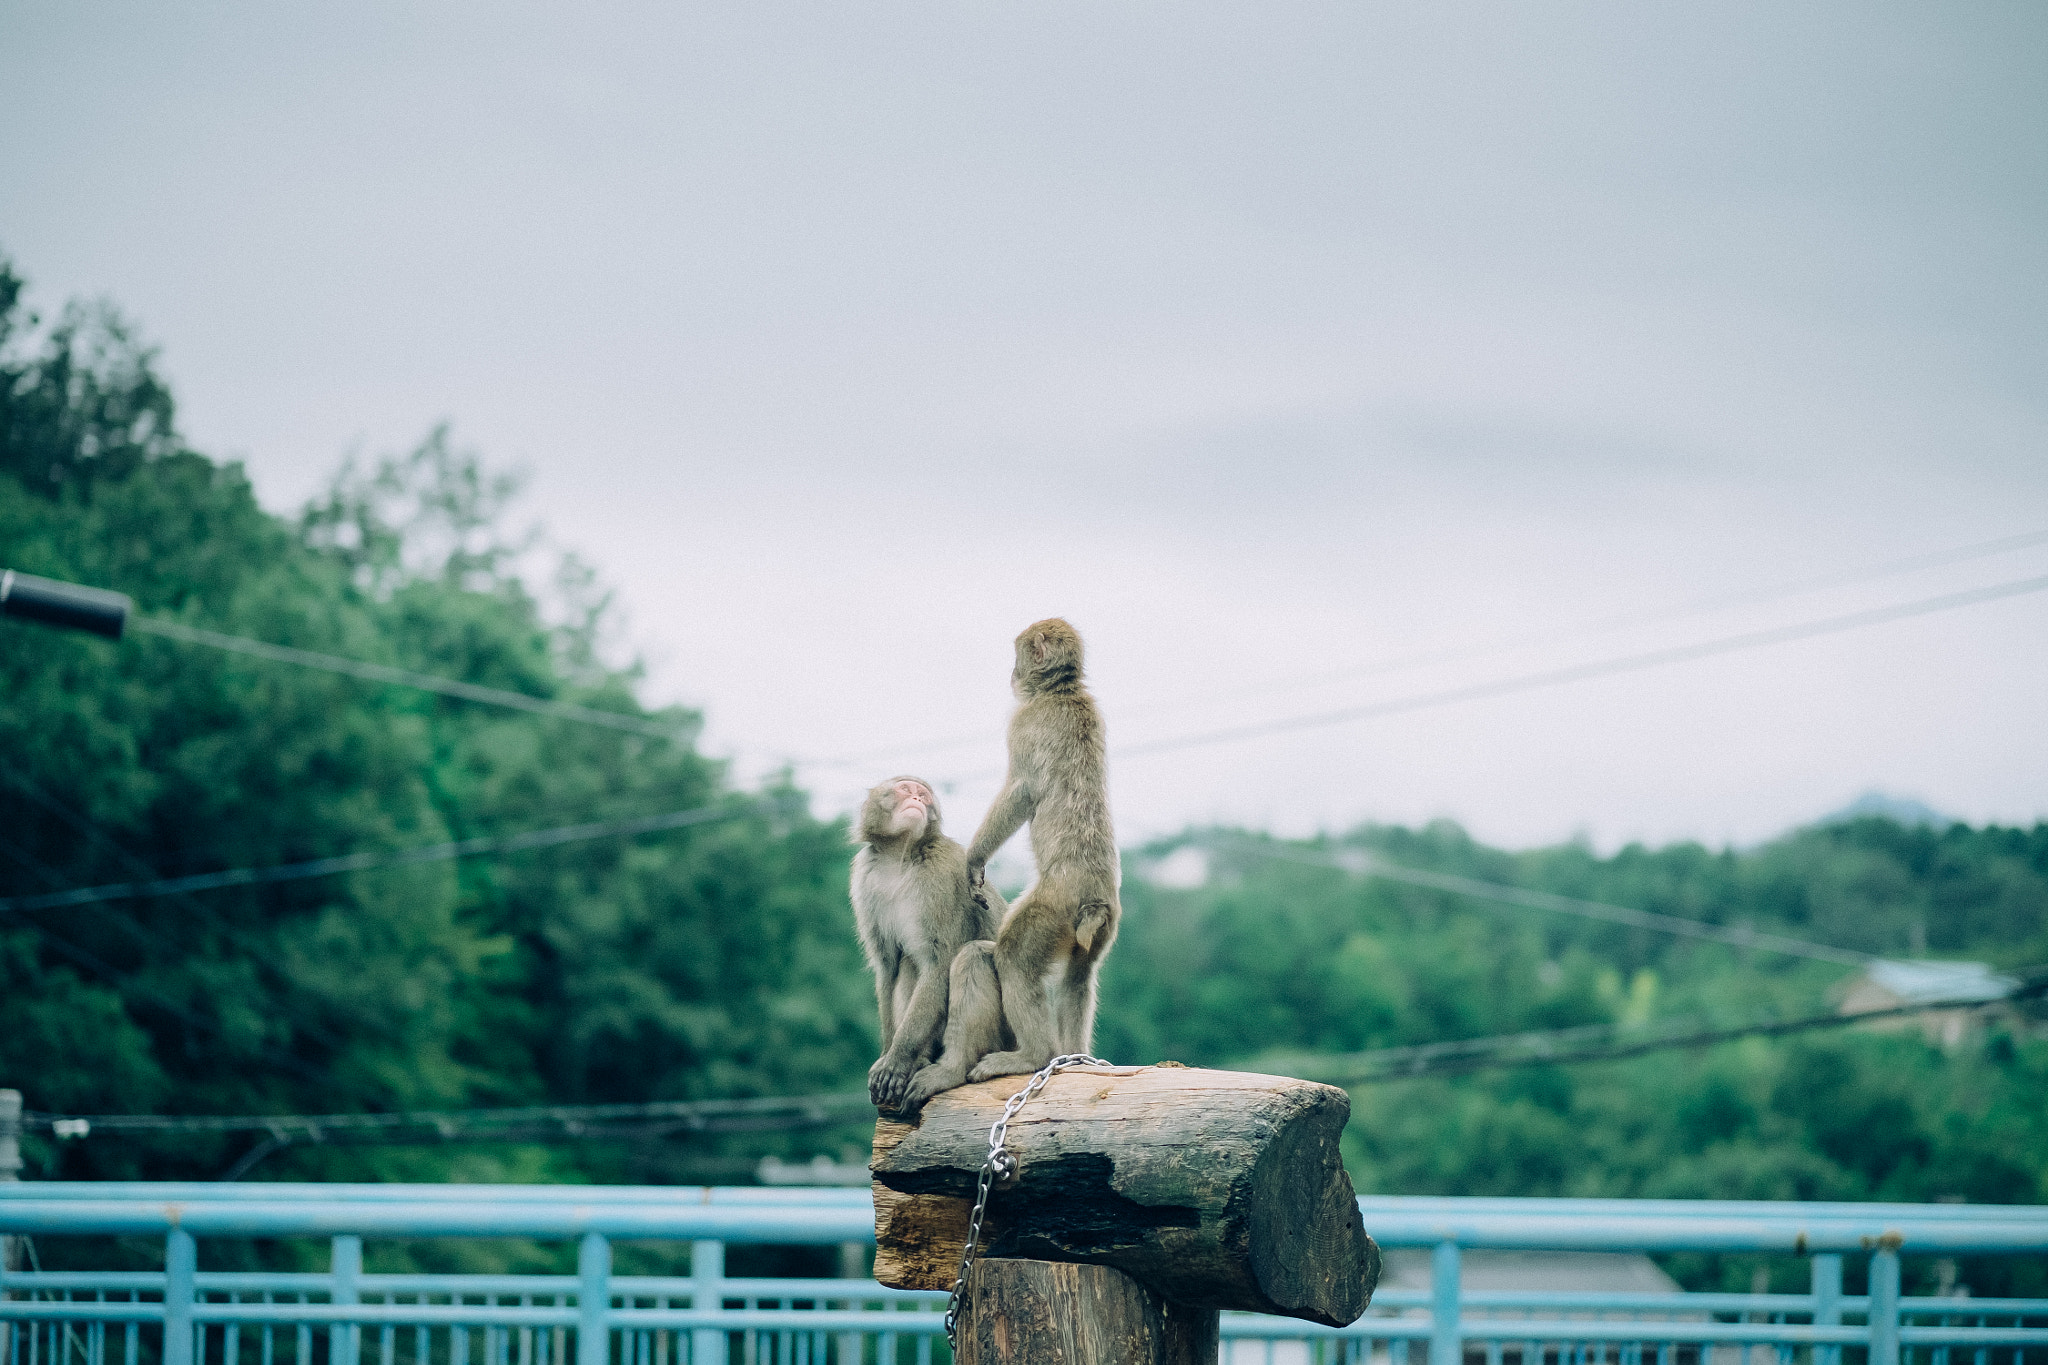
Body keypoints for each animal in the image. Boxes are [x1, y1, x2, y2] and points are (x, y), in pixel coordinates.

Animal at [851, 773, 1003, 1113]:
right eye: (906, 789)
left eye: (924, 795)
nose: (918, 799)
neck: (898, 858)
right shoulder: (865, 878)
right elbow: (888, 967)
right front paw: (888, 1053)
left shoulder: (942, 875)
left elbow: (940, 963)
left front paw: (896, 1060)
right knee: (907, 961)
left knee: (966, 958)